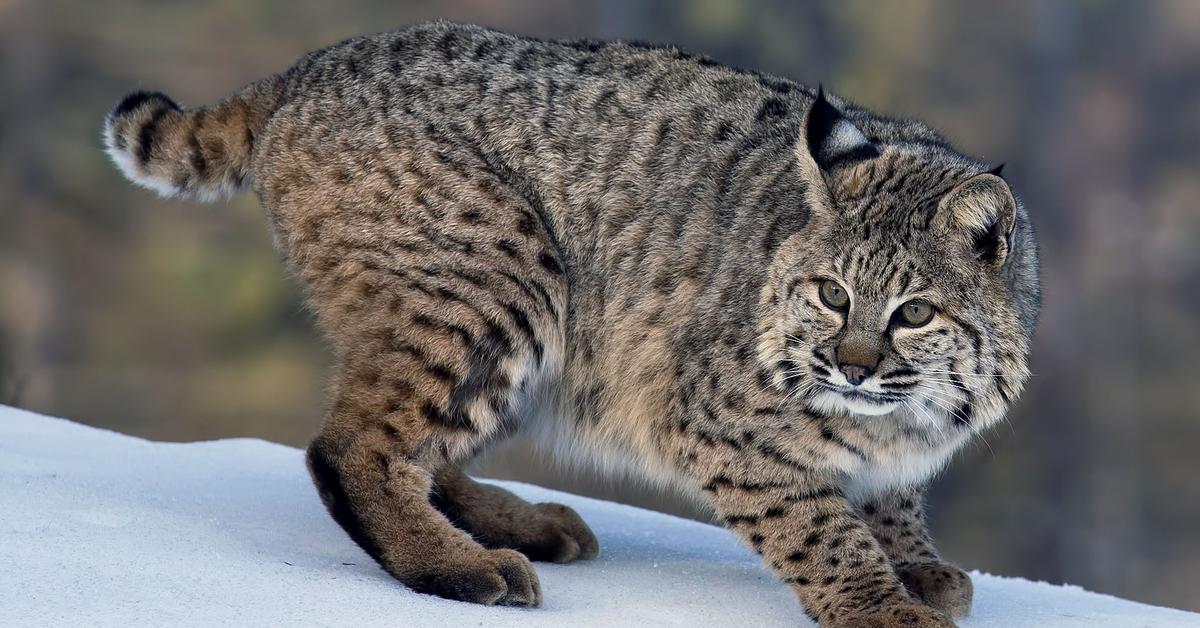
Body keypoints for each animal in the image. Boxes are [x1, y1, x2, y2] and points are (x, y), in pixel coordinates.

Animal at [105, 19, 1041, 628]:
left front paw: (914, 564)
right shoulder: (715, 423)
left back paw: (515, 525)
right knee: (351, 445)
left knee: (420, 439)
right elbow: (818, 526)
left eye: (914, 313)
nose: (850, 367)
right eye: (831, 295)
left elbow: (885, 494)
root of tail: (311, 66)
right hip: (503, 277)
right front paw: (884, 607)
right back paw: (459, 566)